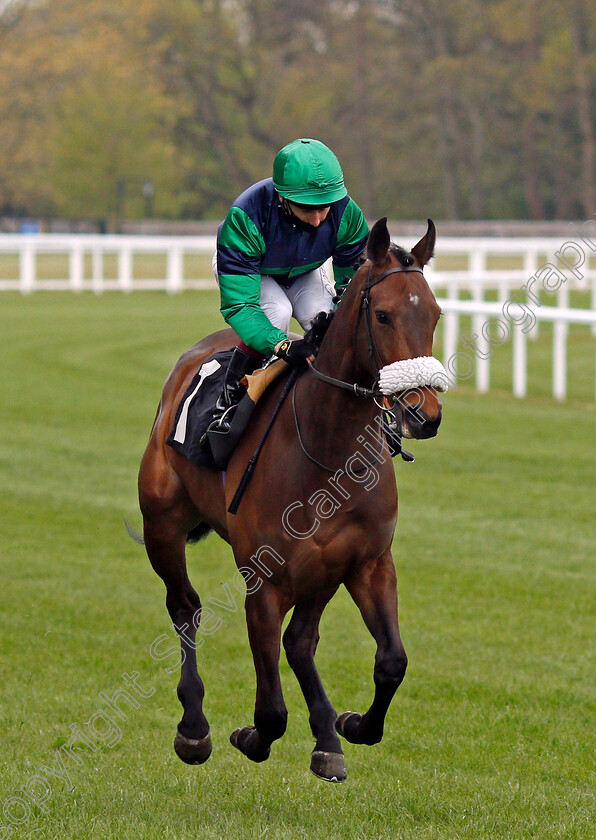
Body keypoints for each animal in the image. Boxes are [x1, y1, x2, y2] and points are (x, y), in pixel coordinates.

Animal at [139, 217, 448, 780]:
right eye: (384, 314)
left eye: (435, 313)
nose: (424, 414)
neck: (329, 448)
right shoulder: (263, 581)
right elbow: (271, 711)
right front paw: (249, 735)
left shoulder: (366, 561)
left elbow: (392, 661)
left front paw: (352, 725)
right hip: (162, 526)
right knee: (185, 606)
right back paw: (194, 727)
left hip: (322, 569)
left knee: (300, 642)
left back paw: (327, 735)